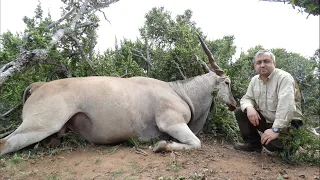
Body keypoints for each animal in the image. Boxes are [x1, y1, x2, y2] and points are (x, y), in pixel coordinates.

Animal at [0, 34, 236, 155]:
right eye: (227, 82)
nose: (234, 104)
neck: (180, 91)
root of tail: (37, 86)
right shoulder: (172, 123)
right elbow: (196, 143)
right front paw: (160, 146)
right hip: (42, 126)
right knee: (6, 144)